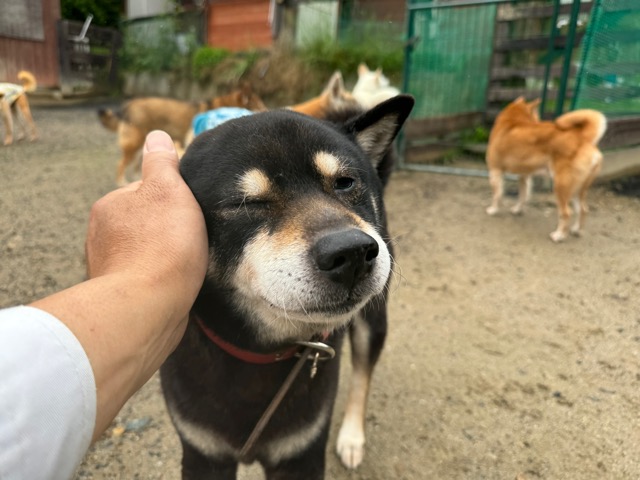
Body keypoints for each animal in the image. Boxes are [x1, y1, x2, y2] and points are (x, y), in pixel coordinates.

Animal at [98, 84, 267, 185]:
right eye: (259, 106)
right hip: (134, 145)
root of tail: (128, 105)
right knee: (121, 165)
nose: (268, 111)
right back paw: (122, 183)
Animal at [160, 94, 414, 479]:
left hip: (373, 320)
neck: (258, 353)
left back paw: (352, 436)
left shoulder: (302, 452)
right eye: (246, 203)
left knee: (362, 374)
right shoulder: (202, 452)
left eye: (345, 182)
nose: (352, 252)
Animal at [486, 96, 607, 242]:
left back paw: (559, 235)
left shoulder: (495, 171)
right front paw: (517, 210)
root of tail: (584, 139)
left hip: (561, 186)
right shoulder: (524, 176)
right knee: (583, 209)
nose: (538, 120)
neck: (512, 121)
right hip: (577, 189)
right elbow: (523, 196)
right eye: (536, 116)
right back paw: (576, 230)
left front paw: (493, 210)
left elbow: (497, 194)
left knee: (567, 212)